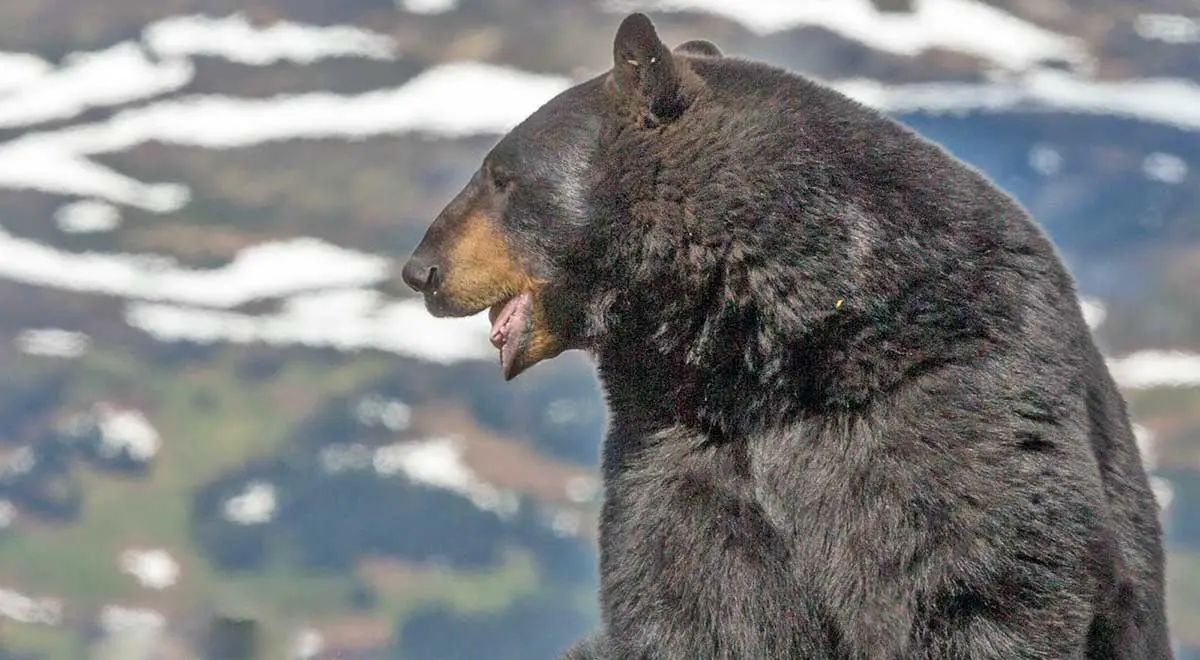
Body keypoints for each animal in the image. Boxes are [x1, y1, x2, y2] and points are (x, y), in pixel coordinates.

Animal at [403, 11, 1171, 660]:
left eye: (500, 175)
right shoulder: (680, 453)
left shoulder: (951, 394)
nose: (420, 270)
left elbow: (977, 575)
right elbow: (696, 598)